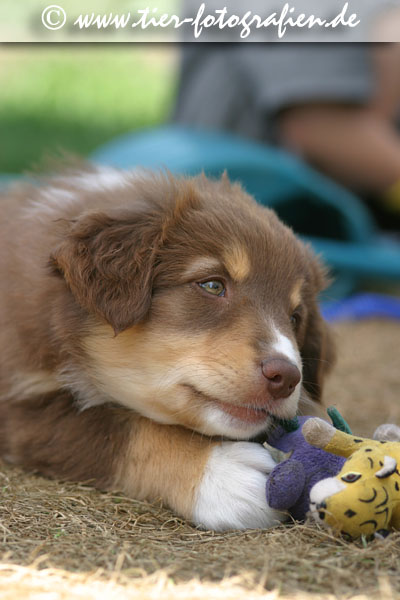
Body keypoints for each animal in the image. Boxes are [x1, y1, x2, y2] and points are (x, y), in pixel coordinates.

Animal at [0, 164, 334, 528]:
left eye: (295, 317)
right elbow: (117, 429)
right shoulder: (20, 404)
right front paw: (222, 472)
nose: (286, 377)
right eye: (213, 285)